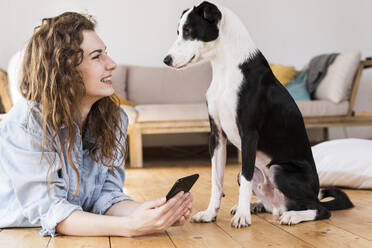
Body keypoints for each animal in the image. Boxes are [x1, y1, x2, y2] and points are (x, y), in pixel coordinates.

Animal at [164, 1, 354, 227]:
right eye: (178, 31)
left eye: (188, 30)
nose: (166, 60)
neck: (225, 68)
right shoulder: (217, 135)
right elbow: (216, 181)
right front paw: (210, 213)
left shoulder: (249, 134)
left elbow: (246, 181)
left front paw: (242, 216)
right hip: (255, 178)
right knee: (275, 205)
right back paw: (259, 206)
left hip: (279, 170)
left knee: (321, 209)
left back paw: (291, 215)